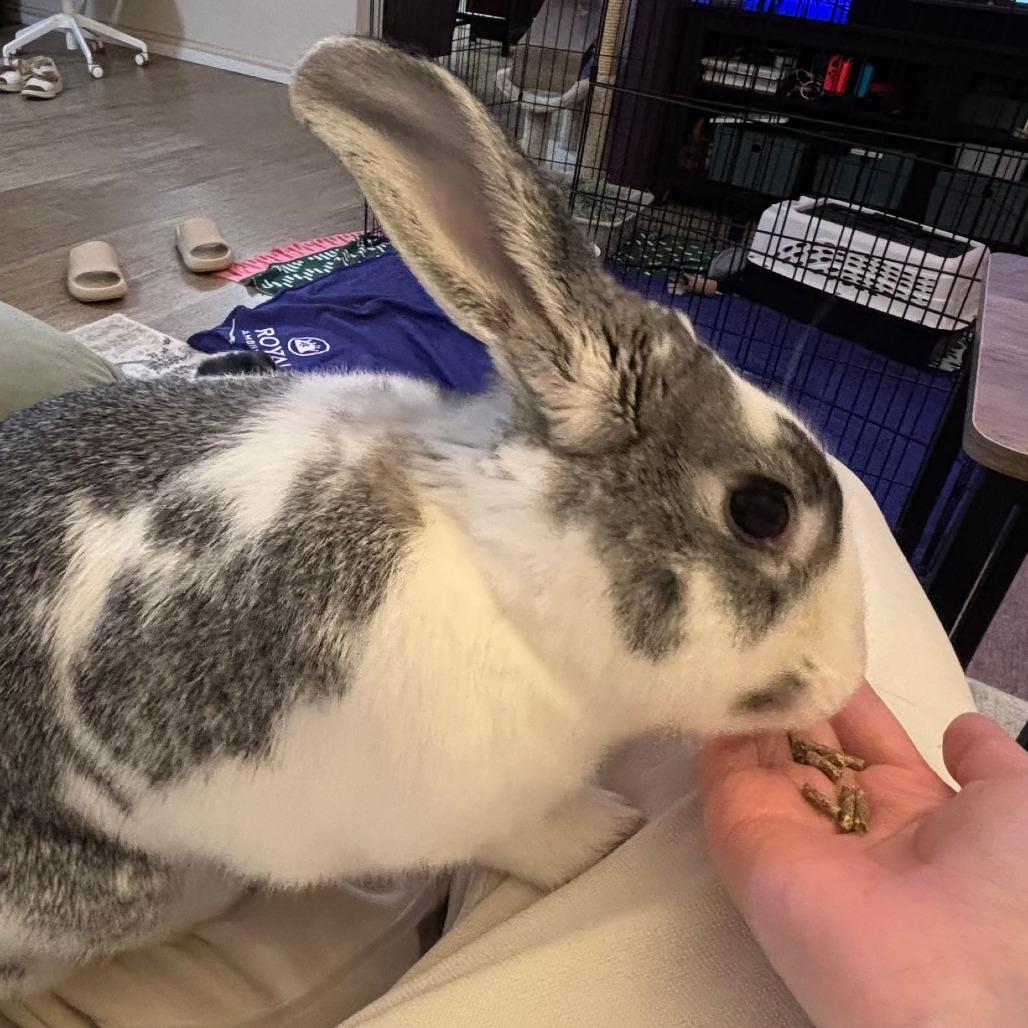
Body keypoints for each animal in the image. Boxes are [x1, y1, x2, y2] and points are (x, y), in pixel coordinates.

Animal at [0, 36, 865, 995]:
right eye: (762, 510)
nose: (850, 678)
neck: (498, 561)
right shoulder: (443, 808)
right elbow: (528, 837)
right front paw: (605, 833)